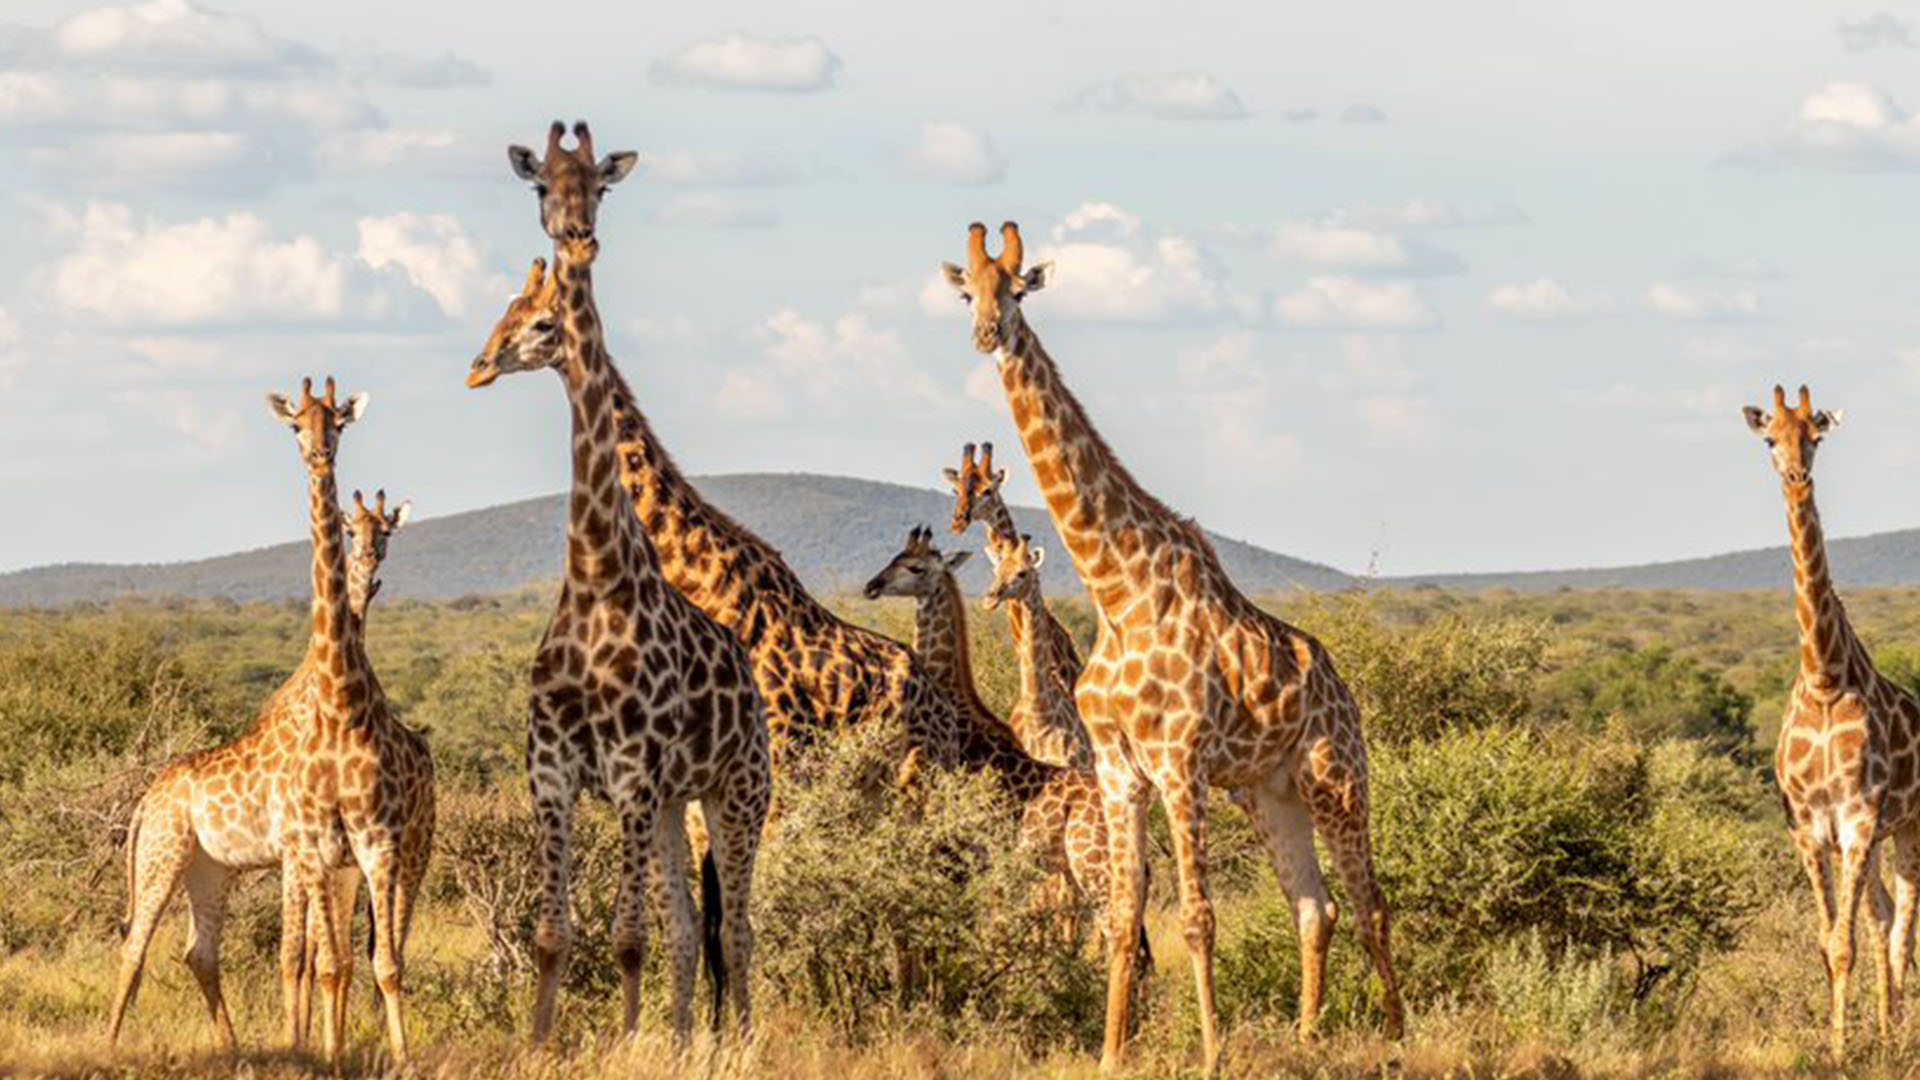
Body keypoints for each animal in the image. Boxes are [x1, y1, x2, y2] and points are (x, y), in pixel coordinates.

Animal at [109, 379, 434, 1065]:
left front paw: (367, 1053)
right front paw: (310, 1048)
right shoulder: (301, 850)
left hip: (217, 868)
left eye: (338, 421)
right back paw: (111, 1043)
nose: (318, 451)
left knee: (200, 952)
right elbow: (306, 959)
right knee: (138, 945)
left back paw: (234, 1048)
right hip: (164, 855)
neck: (341, 704)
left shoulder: (352, 848)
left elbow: (352, 961)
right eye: (294, 424)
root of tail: (147, 800)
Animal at [468, 249, 771, 1046]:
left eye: (543, 322)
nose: (479, 367)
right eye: (503, 309)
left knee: (738, 930)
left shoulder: (631, 775)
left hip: (739, 792)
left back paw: (738, 1039)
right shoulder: (552, 773)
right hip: (672, 805)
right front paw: (539, 1043)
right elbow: (554, 934)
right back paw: (684, 1039)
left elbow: (627, 935)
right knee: (690, 929)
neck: (597, 577)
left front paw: (627, 1040)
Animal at [1745, 383, 1920, 1057]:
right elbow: (1829, 943)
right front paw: (1839, 1040)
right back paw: (1889, 1028)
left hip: (1907, 827)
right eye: (1770, 439)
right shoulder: (1808, 826)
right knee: (1884, 919)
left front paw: (1844, 1051)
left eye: (1815, 438)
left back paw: (1897, 1035)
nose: (1797, 479)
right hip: (1870, 840)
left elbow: (1844, 944)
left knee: (1903, 926)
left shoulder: (1859, 817)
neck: (1824, 680)